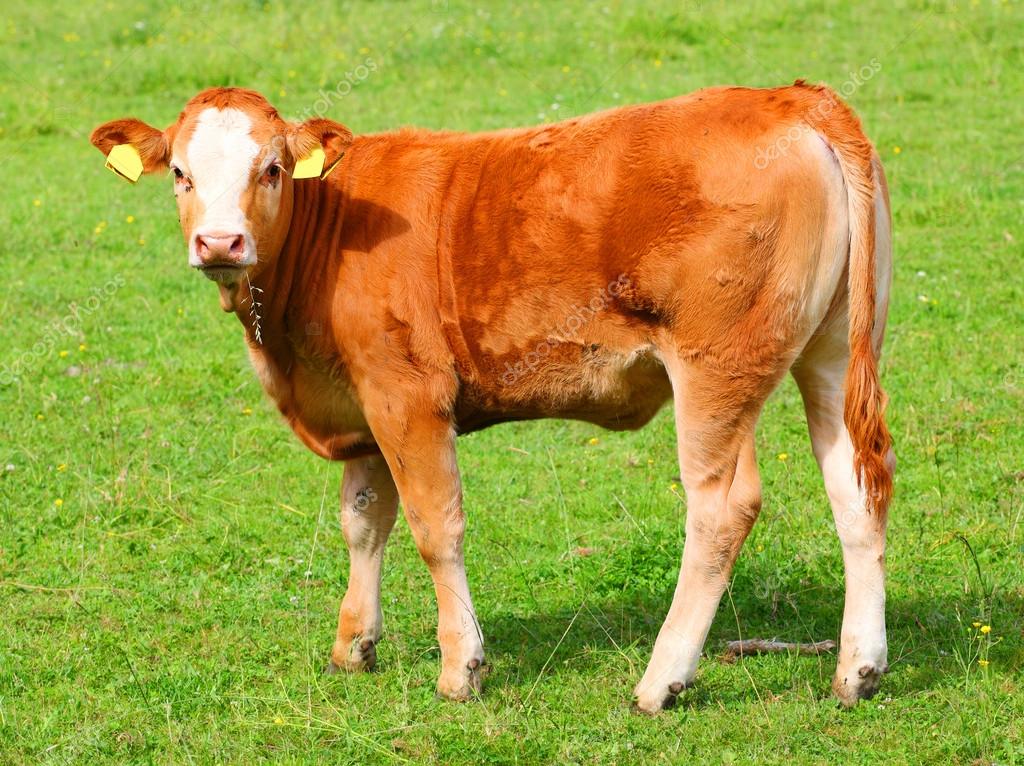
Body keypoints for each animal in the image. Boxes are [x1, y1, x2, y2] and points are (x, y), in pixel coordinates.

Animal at [91, 82, 894, 713]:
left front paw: (460, 668)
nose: (220, 243)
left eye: (272, 168)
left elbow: (432, 527)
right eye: (181, 173)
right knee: (856, 490)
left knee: (722, 509)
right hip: (830, 354)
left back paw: (660, 681)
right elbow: (363, 521)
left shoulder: (408, 395)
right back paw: (857, 671)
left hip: (716, 369)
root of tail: (790, 98)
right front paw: (355, 644)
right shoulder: (363, 402)